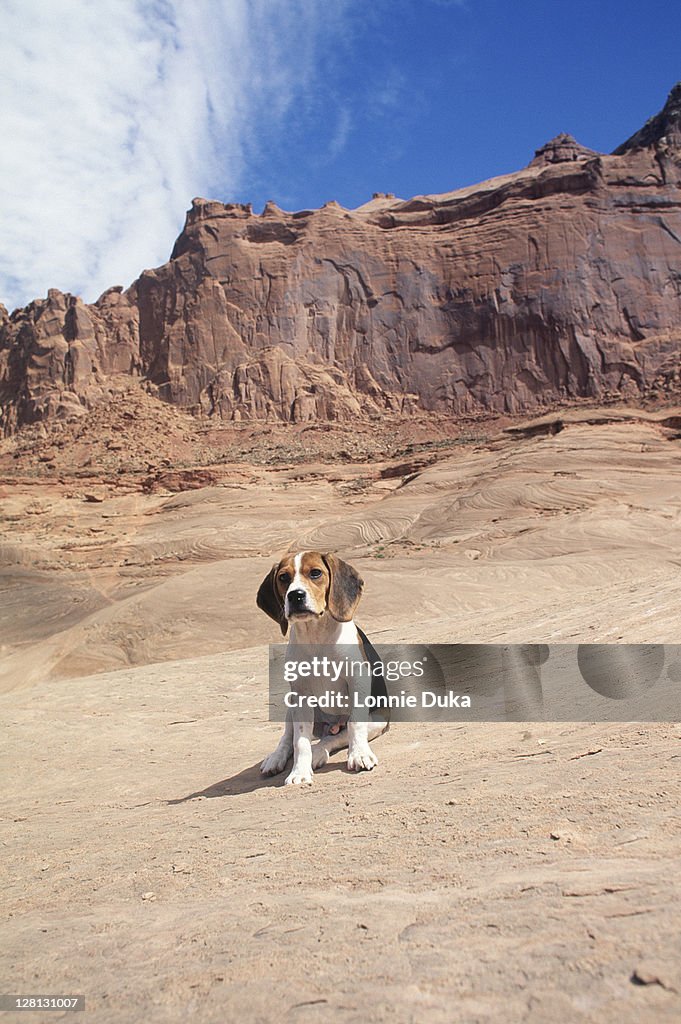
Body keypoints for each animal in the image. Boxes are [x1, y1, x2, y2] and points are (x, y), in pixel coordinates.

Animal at [256, 552, 387, 782]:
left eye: (315, 573)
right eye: (283, 577)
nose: (295, 596)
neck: (316, 635)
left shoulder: (358, 682)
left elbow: (355, 724)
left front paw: (359, 755)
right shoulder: (300, 694)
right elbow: (299, 741)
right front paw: (299, 772)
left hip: (377, 720)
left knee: (335, 737)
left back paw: (319, 753)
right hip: (292, 706)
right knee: (288, 738)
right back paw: (276, 758)